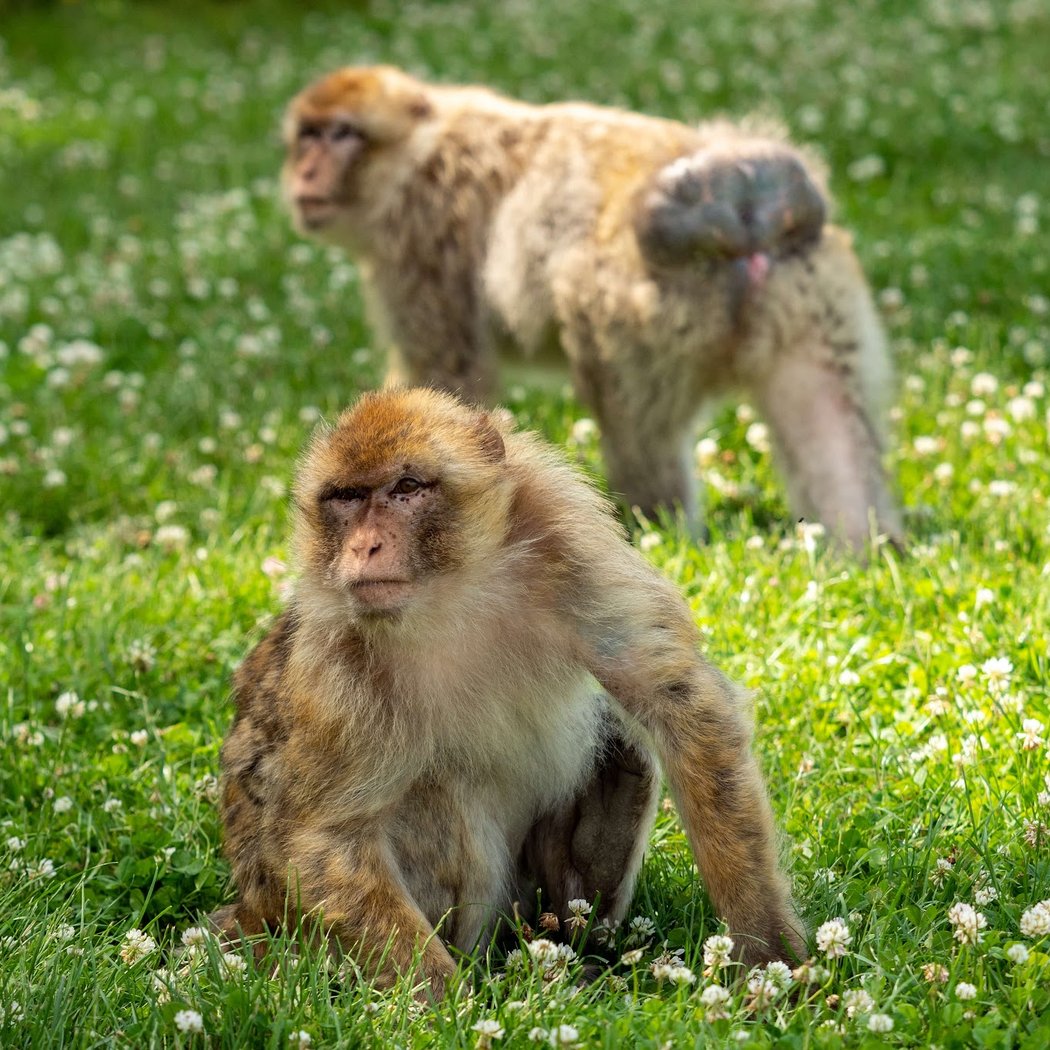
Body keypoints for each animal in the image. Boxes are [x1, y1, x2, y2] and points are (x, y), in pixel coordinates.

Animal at [211, 387, 805, 996]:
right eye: (346, 497)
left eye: (406, 488)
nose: (365, 547)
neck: (453, 593)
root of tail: (251, 917)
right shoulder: (335, 660)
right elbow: (321, 835)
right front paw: (449, 1005)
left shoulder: (572, 548)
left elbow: (688, 715)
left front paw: (767, 953)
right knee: (439, 794)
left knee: (620, 738)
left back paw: (581, 931)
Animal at [281, 65, 903, 553]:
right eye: (308, 136)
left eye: (339, 134)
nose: (306, 171)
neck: (419, 151)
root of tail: (743, 208)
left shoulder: (417, 245)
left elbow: (446, 381)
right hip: (809, 286)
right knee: (830, 423)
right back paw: (868, 546)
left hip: (635, 308)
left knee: (633, 426)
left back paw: (651, 531)